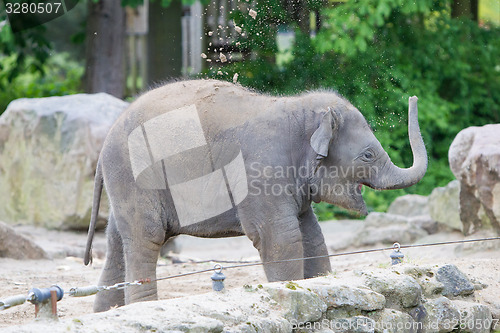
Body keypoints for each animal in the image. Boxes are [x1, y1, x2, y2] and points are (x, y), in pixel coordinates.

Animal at [84, 80, 428, 312]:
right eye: (368, 155)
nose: (414, 97)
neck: (302, 111)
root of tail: (104, 146)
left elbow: (312, 236)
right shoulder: (261, 172)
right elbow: (281, 238)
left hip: (123, 186)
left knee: (117, 244)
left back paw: (106, 313)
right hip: (135, 178)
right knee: (147, 237)